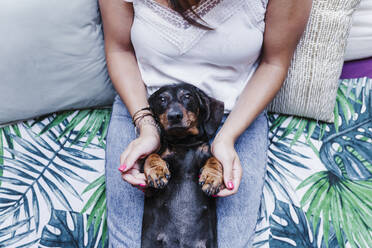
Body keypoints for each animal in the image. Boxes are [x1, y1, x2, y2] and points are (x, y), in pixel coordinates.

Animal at [141, 83, 224, 248]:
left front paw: (211, 178)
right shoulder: (148, 189)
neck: (183, 143)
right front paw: (157, 172)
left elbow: (215, 159)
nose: (174, 116)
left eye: (187, 96)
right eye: (162, 99)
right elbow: (151, 156)